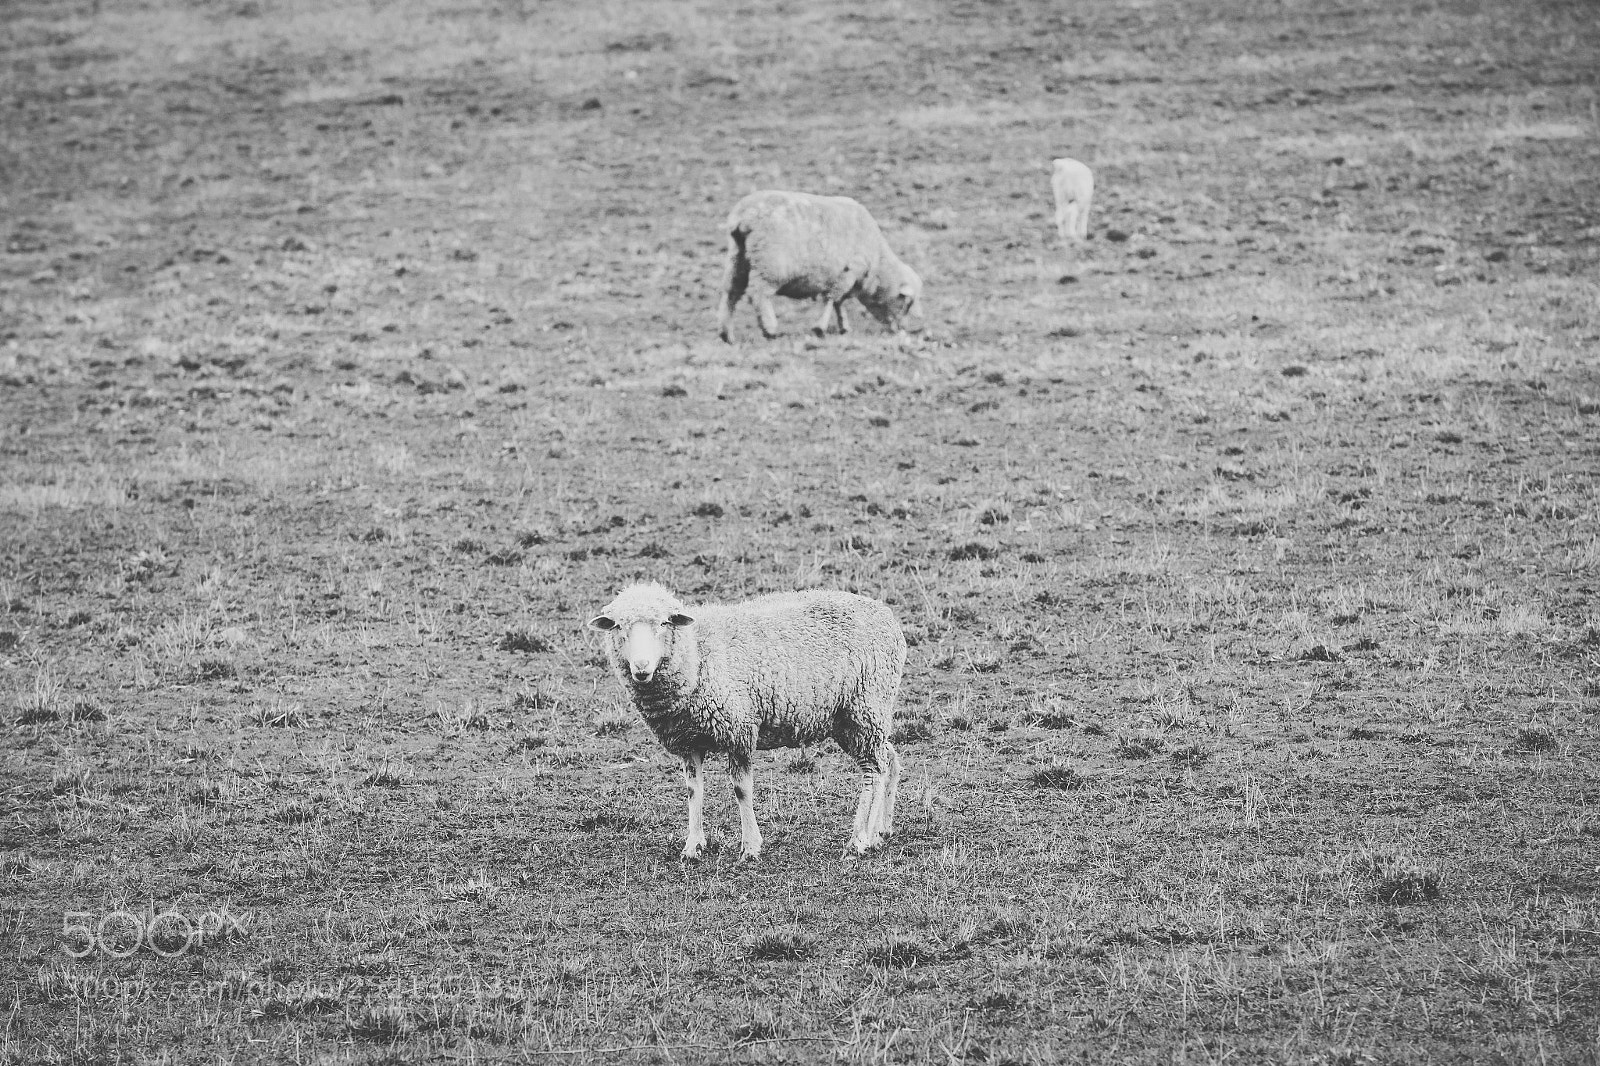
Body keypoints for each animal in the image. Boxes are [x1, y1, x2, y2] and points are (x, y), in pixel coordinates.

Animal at [588, 582, 906, 861]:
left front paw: (750, 848)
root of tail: (887, 616)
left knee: (872, 772)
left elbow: (742, 790)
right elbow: (693, 791)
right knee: (888, 760)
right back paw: (880, 831)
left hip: (866, 707)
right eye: (618, 626)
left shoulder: (738, 730)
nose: (641, 668)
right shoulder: (688, 740)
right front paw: (693, 846)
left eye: (665, 623)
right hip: (855, 718)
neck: (697, 655)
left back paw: (858, 841)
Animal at [716, 190, 923, 343]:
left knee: (731, 293)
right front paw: (820, 328)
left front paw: (844, 327)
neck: (878, 265)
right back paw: (770, 329)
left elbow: (839, 303)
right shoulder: (847, 273)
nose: (903, 330)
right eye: (906, 304)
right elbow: (832, 299)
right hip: (770, 266)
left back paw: (727, 334)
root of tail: (745, 216)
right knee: (758, 295)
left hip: (738, 259)